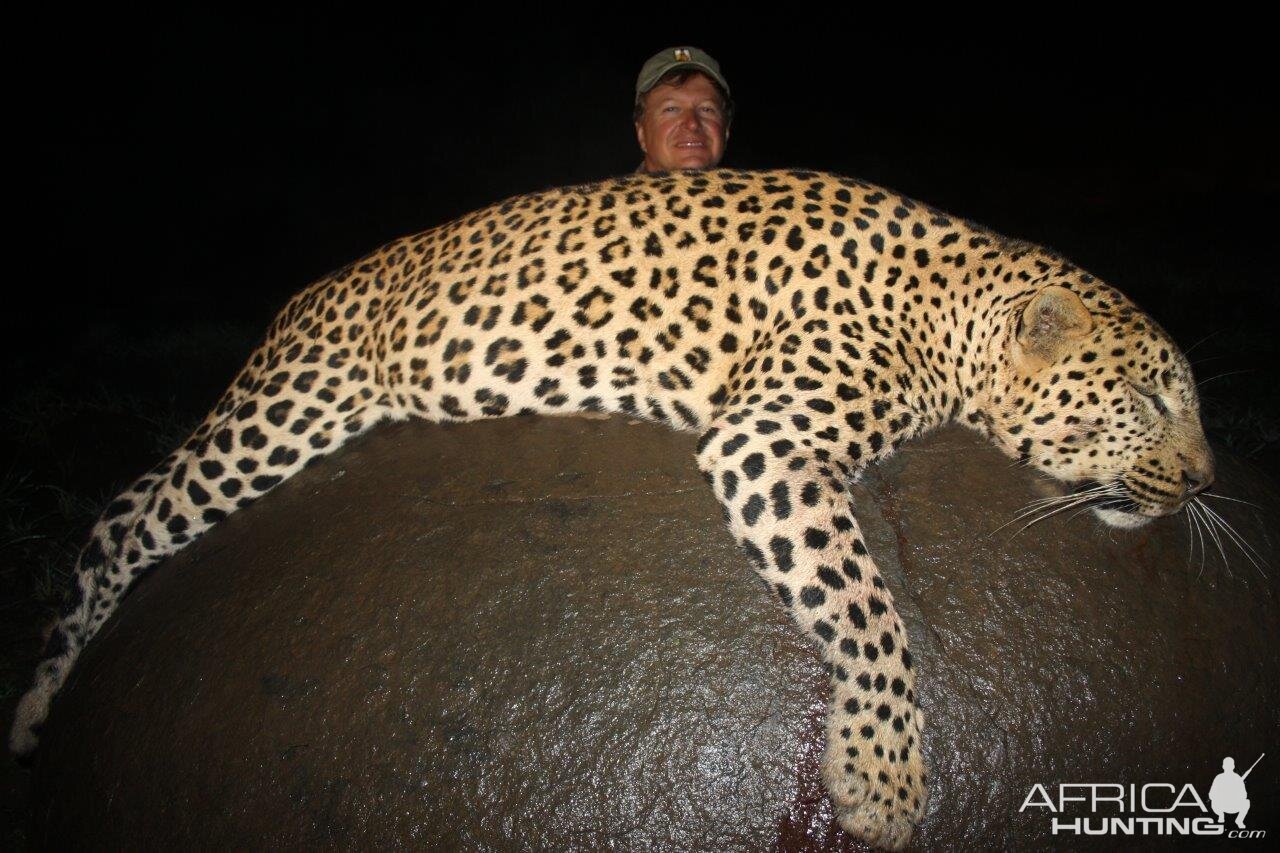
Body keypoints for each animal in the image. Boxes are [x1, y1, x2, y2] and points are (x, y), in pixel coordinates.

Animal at [7, 167, 1208, 850]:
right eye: (1151, 396)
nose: (1202, 478)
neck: (950, 308)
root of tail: (301, 297)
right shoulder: (765, 437)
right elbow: (868, 611)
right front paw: (880, 775)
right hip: (283, 416)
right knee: (130, 518)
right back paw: (41, 697)